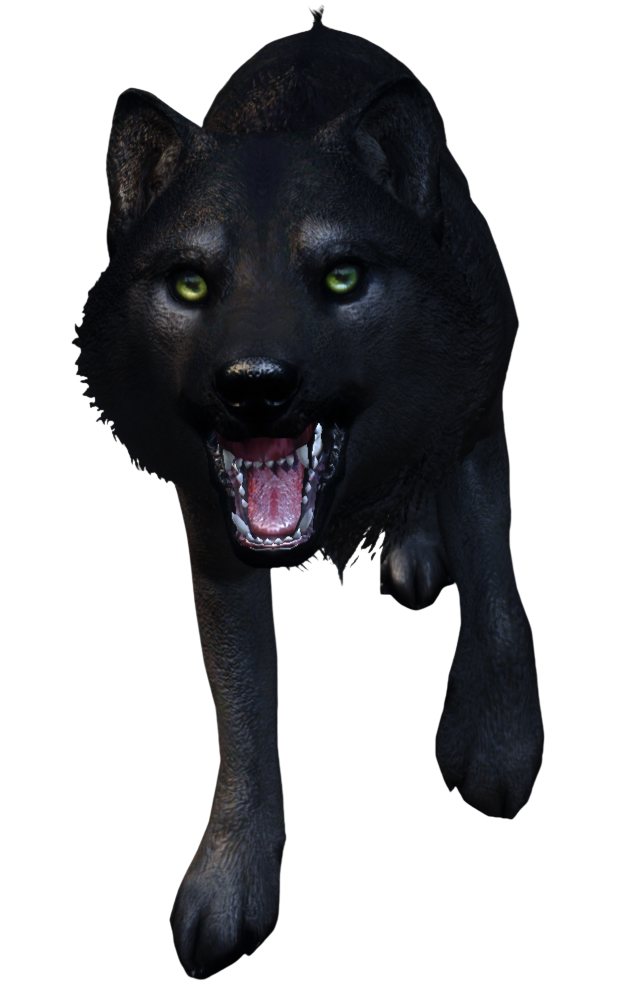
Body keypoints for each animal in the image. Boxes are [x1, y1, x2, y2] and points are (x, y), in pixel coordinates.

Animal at [75, 6, 544, 977]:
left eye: (340, 275)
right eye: (190, 282)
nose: (254, 386)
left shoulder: (473, 428)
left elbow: (494, 590)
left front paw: (499, 741)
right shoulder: (214, 544)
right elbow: (242, 712)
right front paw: (229, 881)